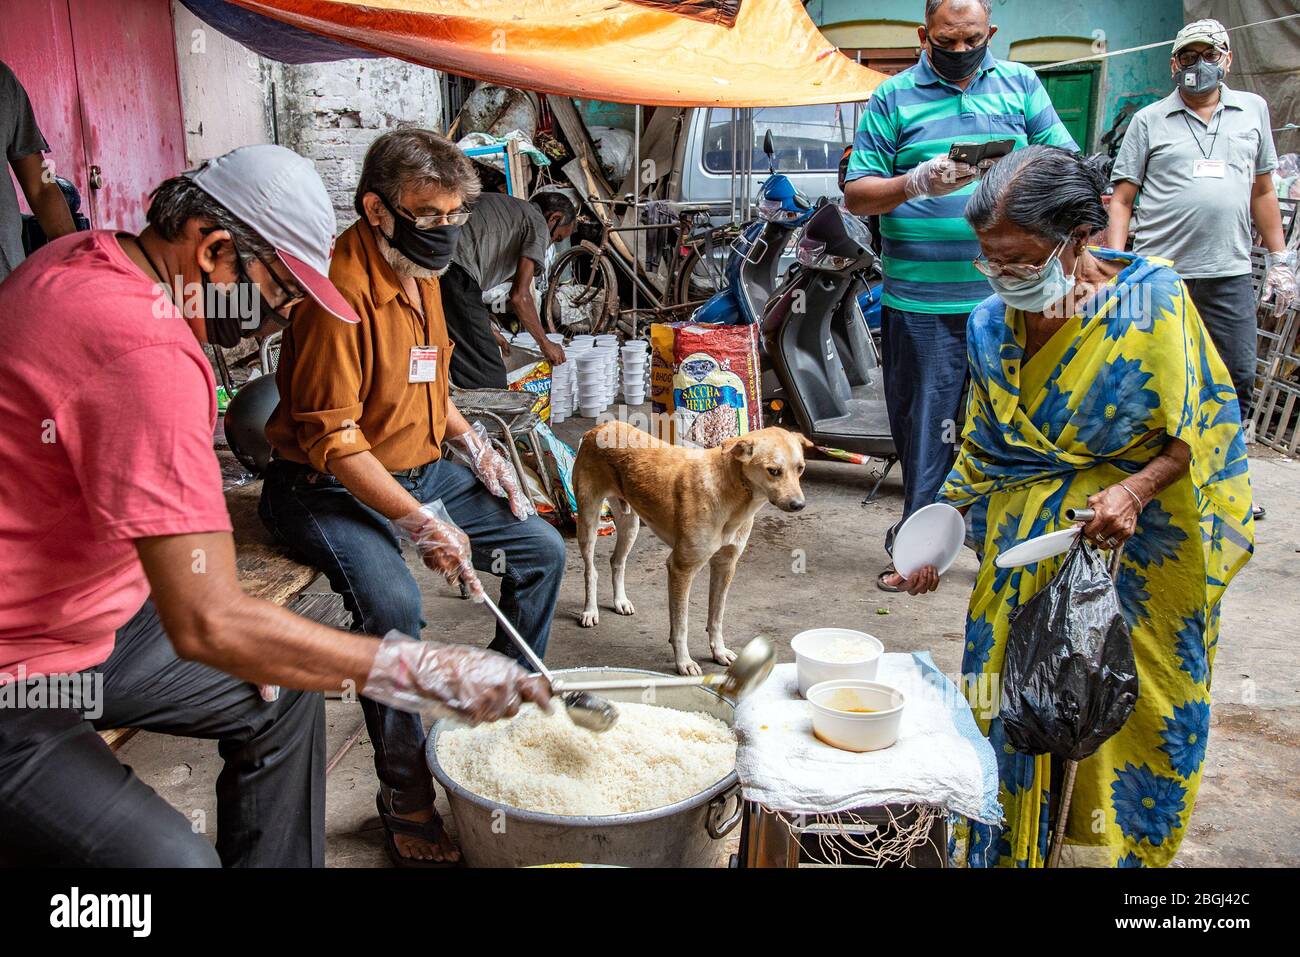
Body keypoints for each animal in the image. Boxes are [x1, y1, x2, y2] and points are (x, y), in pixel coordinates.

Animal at [574, 421, 806, 676]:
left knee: (616, 561)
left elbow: (716, 616)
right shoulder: (680, 569)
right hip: (588, 520)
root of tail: (600, 427)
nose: (799, 505)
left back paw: (620, 601)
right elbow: (681, 625)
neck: (731, 490)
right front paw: (684, 662)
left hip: (629, 524)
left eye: (800, 469)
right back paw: (590, 611)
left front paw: (719, 652)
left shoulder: (726, 565)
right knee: (591, 570)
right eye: (773, 471)